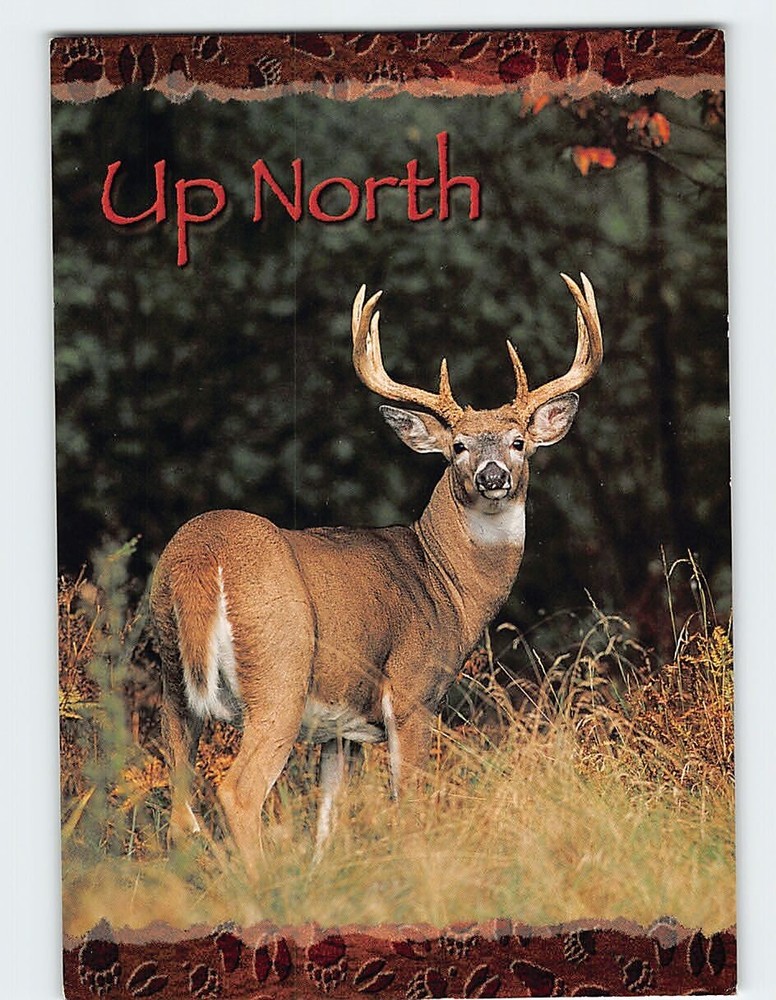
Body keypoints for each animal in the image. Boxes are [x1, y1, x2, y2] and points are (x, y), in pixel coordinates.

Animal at [149, 273, 603, 871]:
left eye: (518, 442)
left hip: (172, 681)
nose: (492, 476)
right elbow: (407, 807)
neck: (448, 586)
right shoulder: (413, 693)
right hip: (279, 671)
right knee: (237, 792)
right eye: (457, 446)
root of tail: (201, 559)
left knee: (179, 806)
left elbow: (329, 818)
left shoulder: (339, 727)